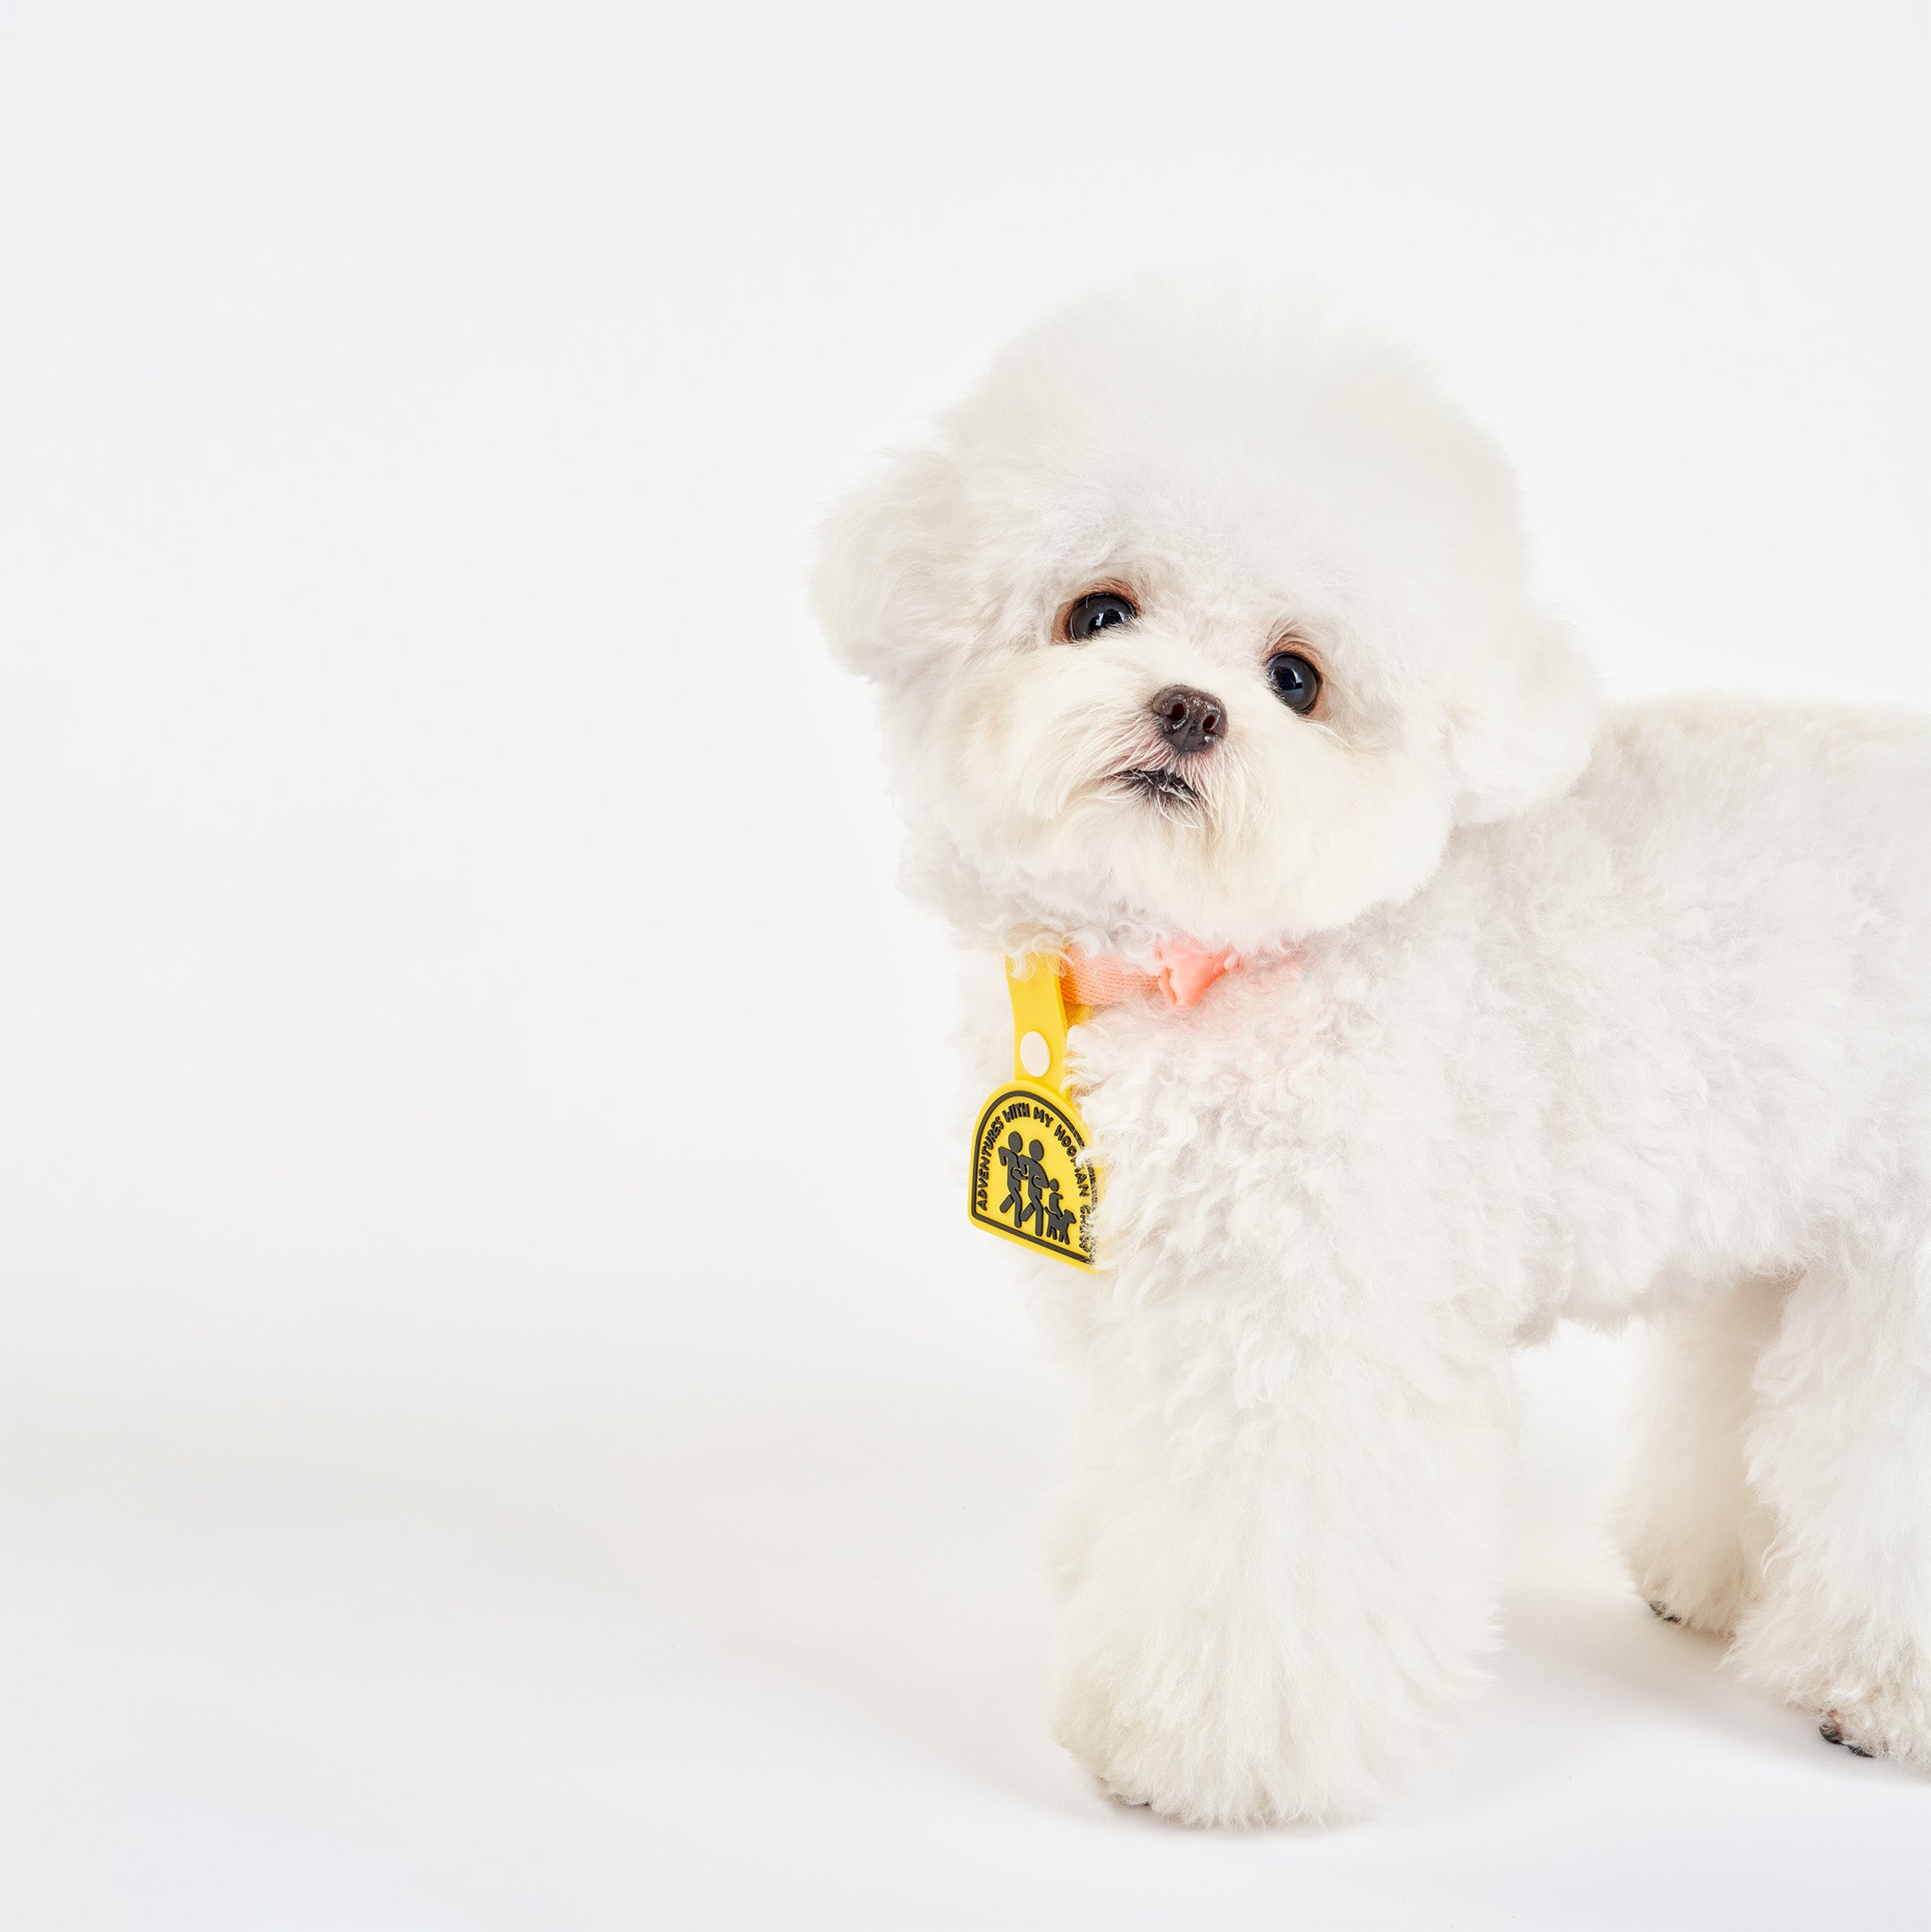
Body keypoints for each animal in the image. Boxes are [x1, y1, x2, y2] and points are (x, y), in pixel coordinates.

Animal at [806, 276, 1923, 1823]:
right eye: (1098, 611)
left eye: (1298, 678)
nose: (1190, 709)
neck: (1203, 962)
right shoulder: (1154, 1311)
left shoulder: (1302, 1327)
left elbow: (1262, 1562)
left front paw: (1200, 1757)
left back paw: (1868, 1690)